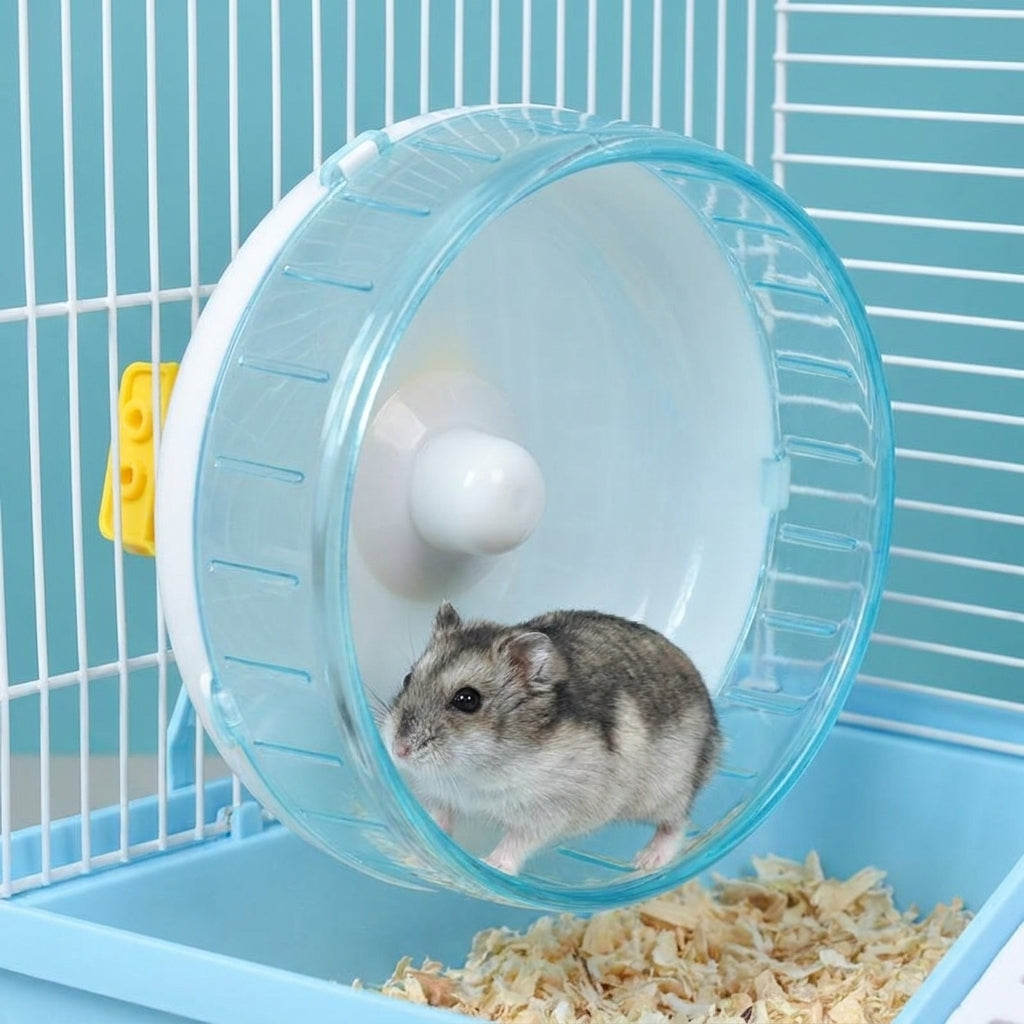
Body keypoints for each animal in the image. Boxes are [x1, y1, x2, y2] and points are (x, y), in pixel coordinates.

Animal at [381, 601, 722, 876]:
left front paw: (492, 865)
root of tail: (717, 734)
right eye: (407, 678)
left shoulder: (549, 810)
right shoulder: (439, 794)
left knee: (678, 822)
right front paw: (416, 854)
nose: (398, 750)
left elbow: (517, 840)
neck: (477, 769)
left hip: (665, 792)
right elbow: (437, 819)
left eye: (467, 700)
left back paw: (646, 861)